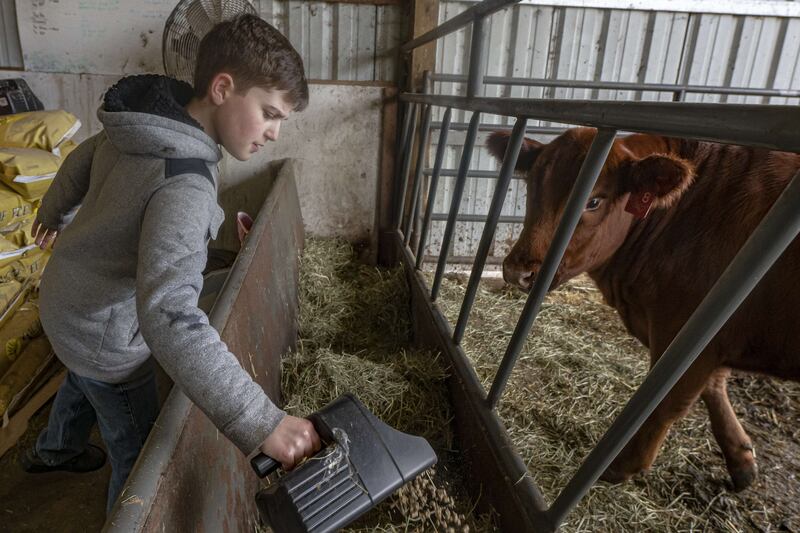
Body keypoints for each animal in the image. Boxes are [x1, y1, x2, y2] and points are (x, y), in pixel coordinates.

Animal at [488, 128, 800, 490]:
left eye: (594, 201)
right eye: (532, 186)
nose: (517, 270)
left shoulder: (687, 332)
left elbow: (666, 402)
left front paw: (620, 466)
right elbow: (712, 388)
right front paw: (741, 459)